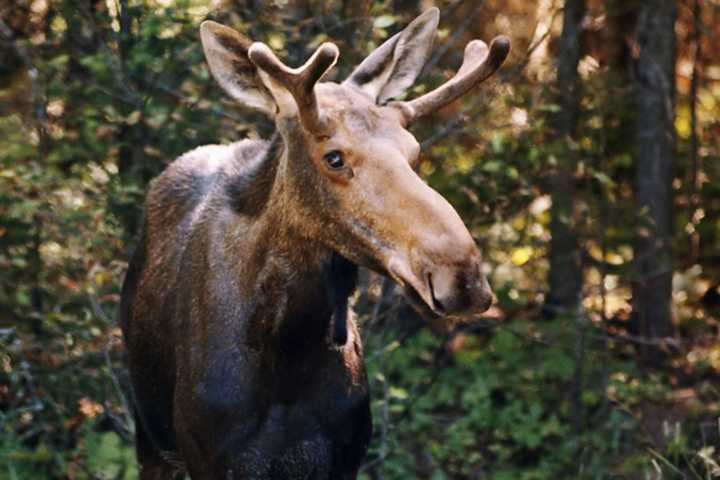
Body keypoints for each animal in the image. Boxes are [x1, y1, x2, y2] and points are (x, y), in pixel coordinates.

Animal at [121, 8, 510, 480]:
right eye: (334, 157)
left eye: (414, 151)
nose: (463, 274)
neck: (290, 353)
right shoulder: (211, 460)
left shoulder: (344, 457)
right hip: (150, 435)